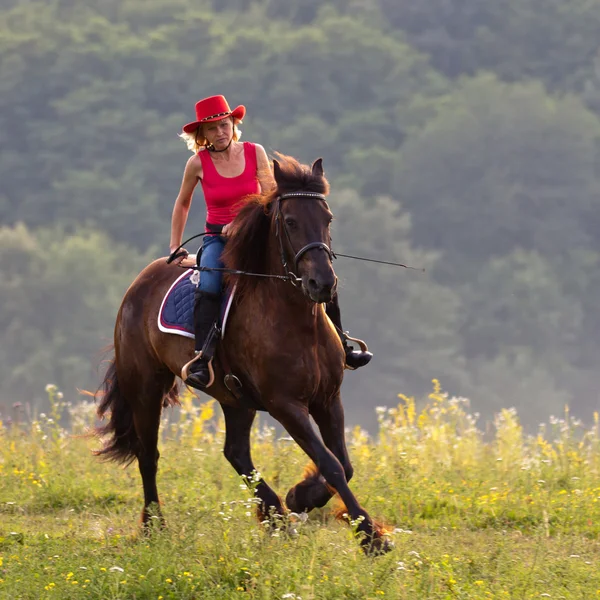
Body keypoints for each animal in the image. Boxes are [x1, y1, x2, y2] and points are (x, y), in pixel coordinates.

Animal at [96, 154, 392, 552]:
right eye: (290, 221)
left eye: (327, 218)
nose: (323, 283)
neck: (297, 321)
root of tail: (143, 279)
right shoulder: (287, 405)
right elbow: (330, 463)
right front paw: (370, 537)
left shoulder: (328, 398)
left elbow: (344, 464)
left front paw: (301, 497)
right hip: (145, 385)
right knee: (149, 454)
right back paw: (154, 526)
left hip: (235, 399)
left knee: (235, 452)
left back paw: (275, 515)